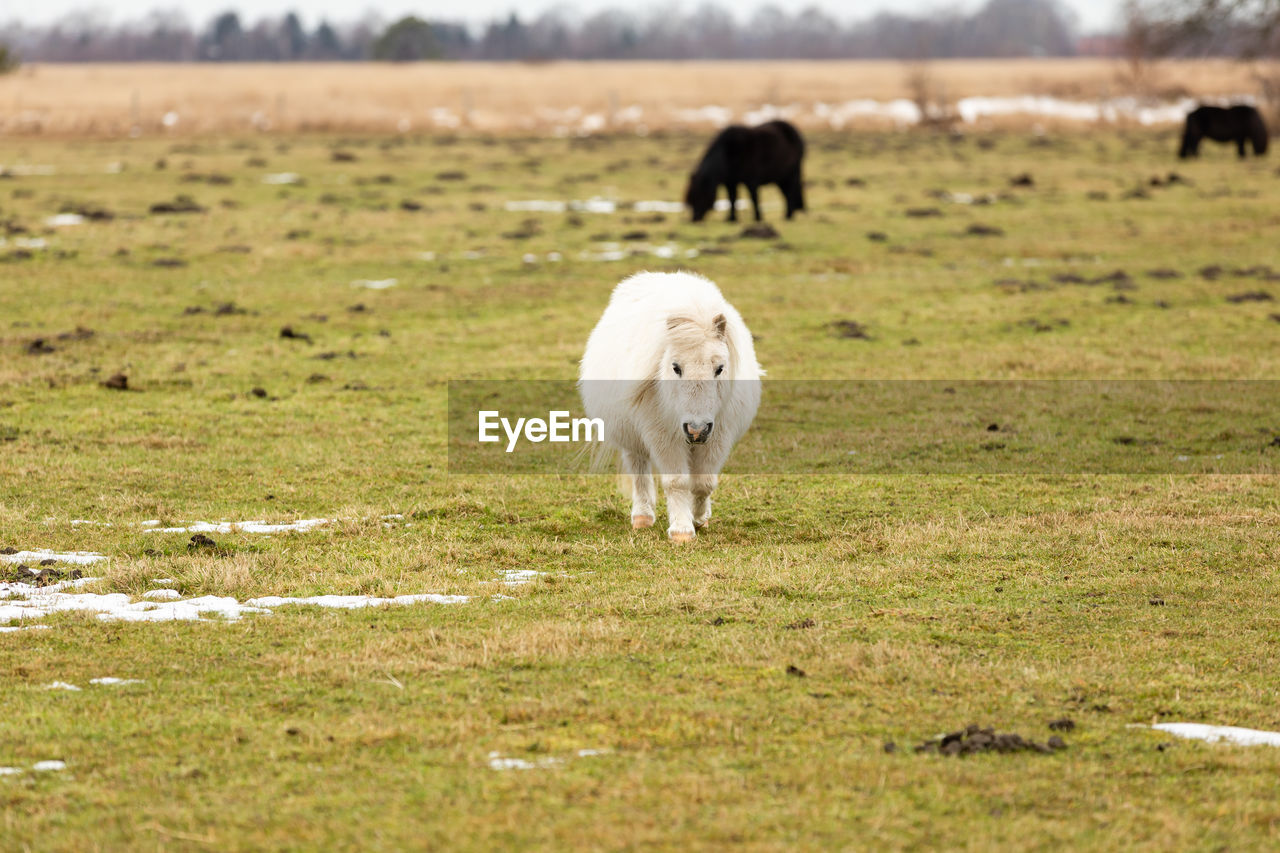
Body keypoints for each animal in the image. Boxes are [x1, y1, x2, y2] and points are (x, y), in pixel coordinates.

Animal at [578, 268, 757, 540]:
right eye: (675, 367)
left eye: (719, 368)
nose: (696, 430)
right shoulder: (662, 435)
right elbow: (676, 481)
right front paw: (682, 530)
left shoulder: (719, 436)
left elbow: (704, 482)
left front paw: (700, 518)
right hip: (632, 438)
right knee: (639, 471)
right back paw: (642, 517)